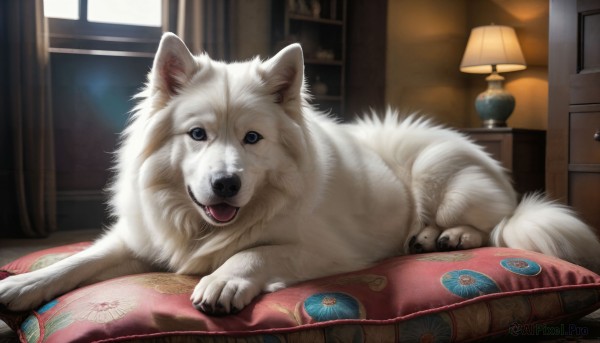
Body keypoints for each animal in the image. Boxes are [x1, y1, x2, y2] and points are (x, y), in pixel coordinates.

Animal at [1, 33, 600, 316]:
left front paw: (224, 279)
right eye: (197, 135)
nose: (226, 185)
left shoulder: (329, 250)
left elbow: (257, 251)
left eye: (252, 139)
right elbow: (79, 260)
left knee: (490, 225)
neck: (203, 228)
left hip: (437, 175)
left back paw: (447, 235)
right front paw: (23, 283)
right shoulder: (138, 240)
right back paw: (428, 237)